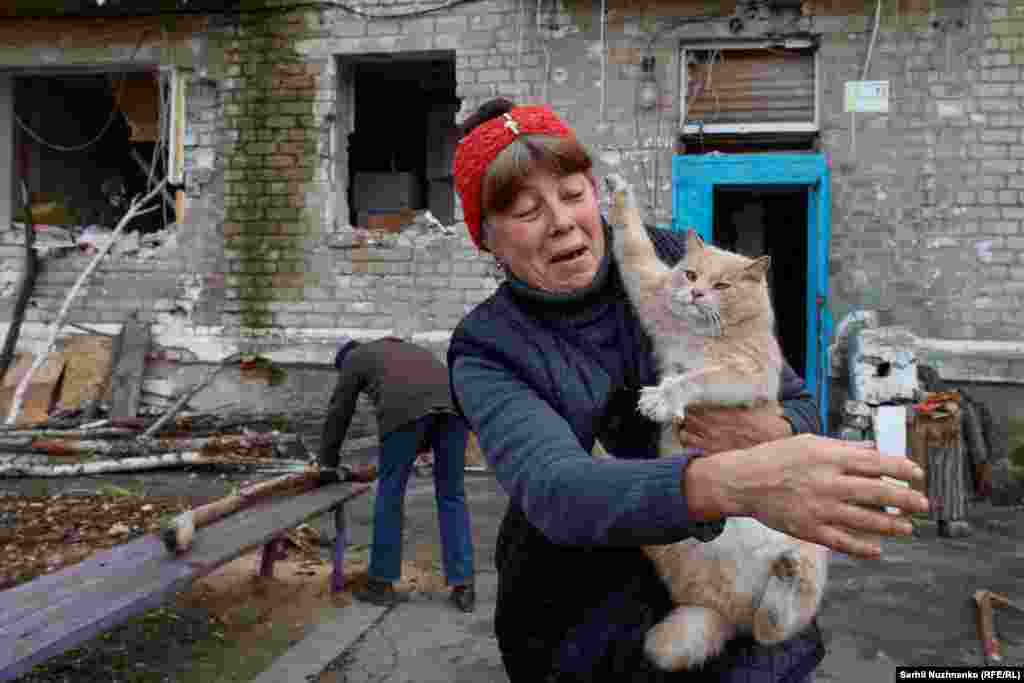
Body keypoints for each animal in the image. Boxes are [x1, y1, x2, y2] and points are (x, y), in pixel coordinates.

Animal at [602, 175, 827, 671]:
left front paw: (663, 397)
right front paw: (616, 192)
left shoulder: (747, 373)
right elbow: (631, 243)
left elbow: (697, 377)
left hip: (809, 545)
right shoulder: (649, 288)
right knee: (756, 629)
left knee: (771, 630)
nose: (696, 293)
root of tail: (728, 611)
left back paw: (785, 576)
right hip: (667, 542)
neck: (702, 333)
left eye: (722, 284)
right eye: (689, 275)